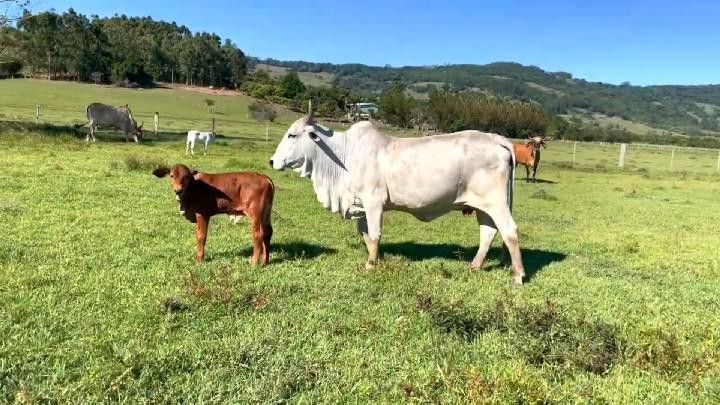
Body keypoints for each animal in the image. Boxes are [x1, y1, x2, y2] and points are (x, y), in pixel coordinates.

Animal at [268, 101, 524, 284]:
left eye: (292, 135)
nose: (272, 161)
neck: (344, 156)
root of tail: (496, 139)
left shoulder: (373, 202)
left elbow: (374, 234)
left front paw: (370, 265)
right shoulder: (360, 205)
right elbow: (366, 235)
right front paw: (376, 259)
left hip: (496, 203)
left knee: (509, 231)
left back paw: (518, 275)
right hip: (482, 206)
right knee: (488, 232)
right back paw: (475, 266)